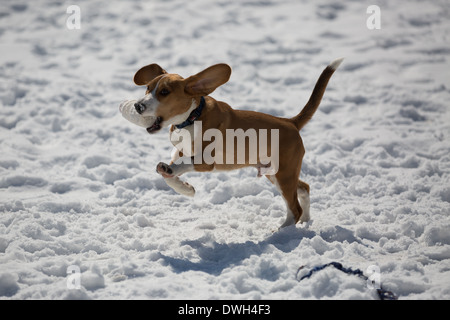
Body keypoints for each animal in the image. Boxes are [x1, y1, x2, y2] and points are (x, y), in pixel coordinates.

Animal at [132, 57, 342, 228]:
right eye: (148, 88)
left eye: (164, 92)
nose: (137, 105)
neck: (192, 117)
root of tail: (291, 122)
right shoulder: (181, 152)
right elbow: (171, 176)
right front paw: (186, 188)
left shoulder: (205, 160)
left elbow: (179, 166)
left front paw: (170, 171)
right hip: (275, 172)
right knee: (304, 188)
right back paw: (306, 221)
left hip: (284, 173)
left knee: (294, 208)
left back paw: (280, 233)